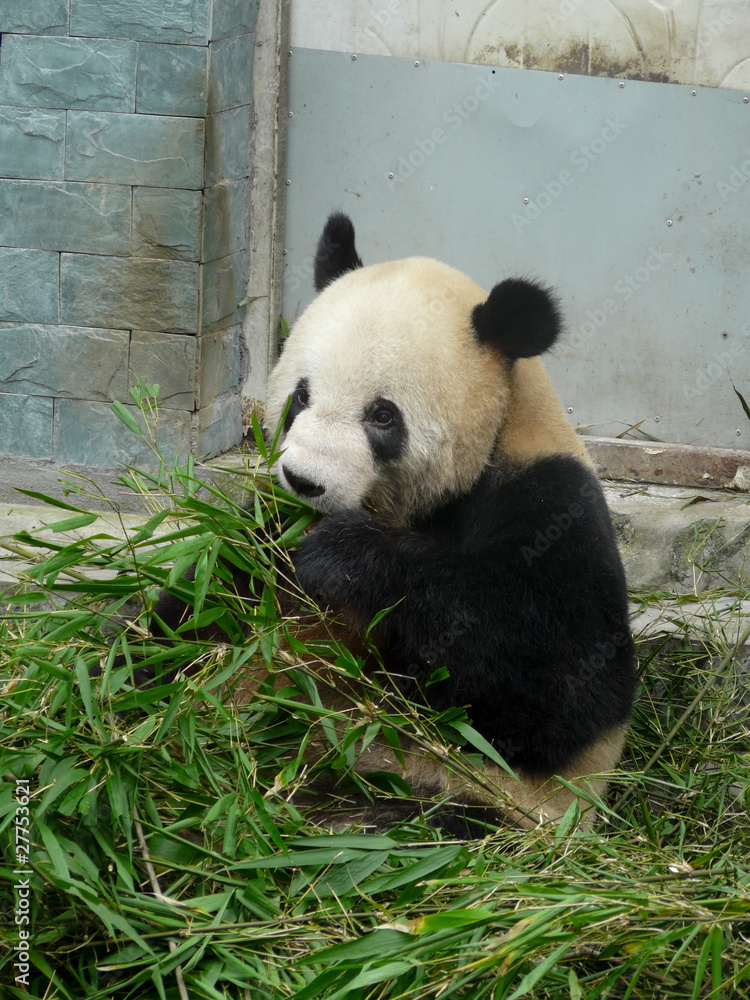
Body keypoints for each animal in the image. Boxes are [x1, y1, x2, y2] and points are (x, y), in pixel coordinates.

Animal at [259, 211, 636, 832]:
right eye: (301, 395)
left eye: (382, 416)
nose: (304, 479)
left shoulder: (552, 501)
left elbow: (567, 684)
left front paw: (343, 556)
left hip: (472, 795)